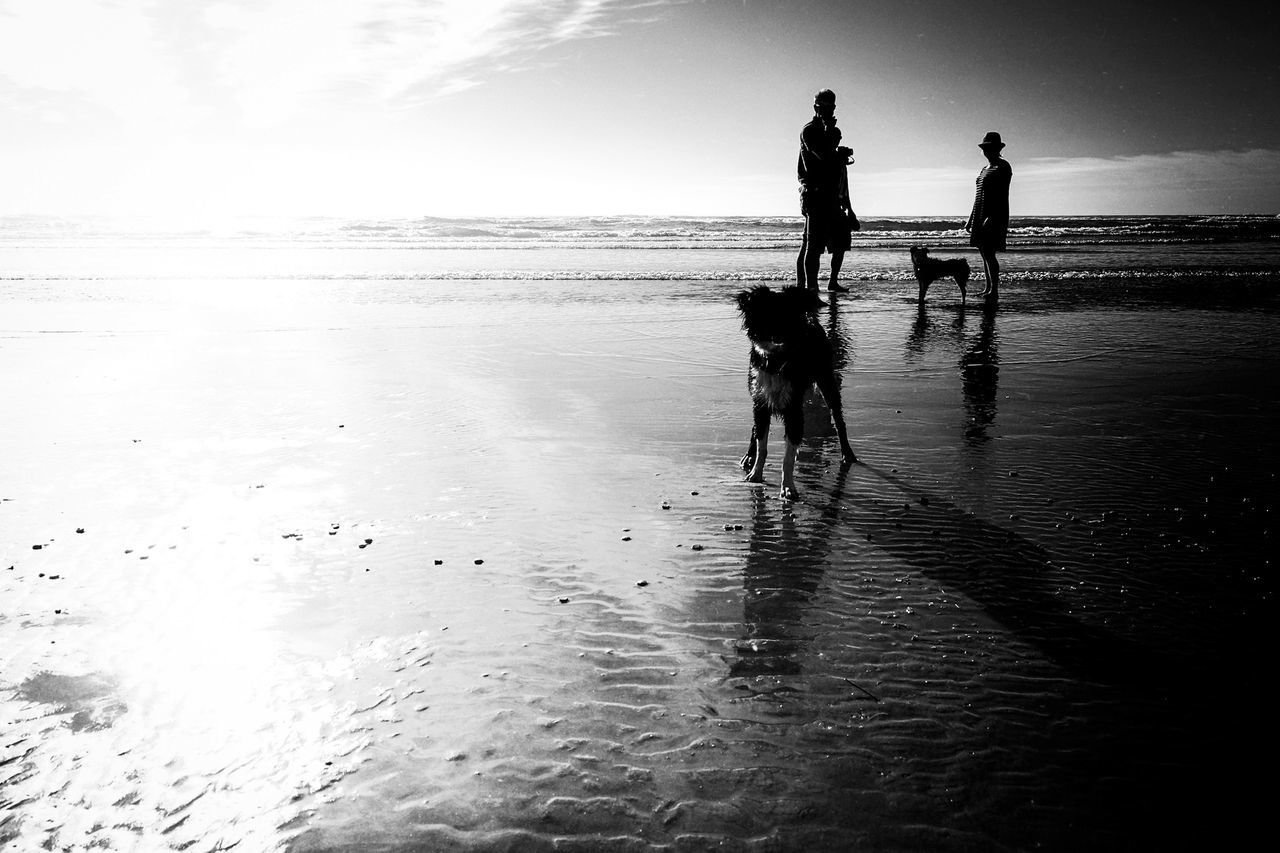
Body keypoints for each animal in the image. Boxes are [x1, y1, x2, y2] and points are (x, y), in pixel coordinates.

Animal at [737, 285, 855, 499]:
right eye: (766, 313)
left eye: (789, 314)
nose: (778, 333)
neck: (775, 360)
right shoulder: (760, 401)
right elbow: (761, 443)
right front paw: (756, 473)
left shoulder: (793, 406)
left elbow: (788, 456)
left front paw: (788, 487)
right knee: (756, 429)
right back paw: (749, 456)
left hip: (826, 377)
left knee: (837, 417)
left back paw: (847, 452)